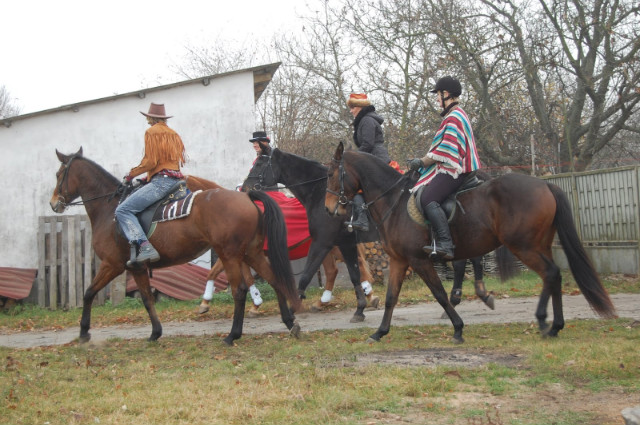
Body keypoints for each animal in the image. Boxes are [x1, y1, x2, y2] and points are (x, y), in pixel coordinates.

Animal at [48, 148, 302, 344]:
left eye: (59, 174)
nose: (53, 203)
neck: (110, 210)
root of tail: (246, 197)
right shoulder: (136, 268)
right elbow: (147, 299)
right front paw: (155, 333)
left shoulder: (113, 265)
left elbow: (89, 293)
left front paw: (83, 332)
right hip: (251, 253)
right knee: (275, 279)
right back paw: (290, 323)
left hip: (230, 255)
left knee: (239, 291)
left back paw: (233, 335)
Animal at [241, 144, 380, 320]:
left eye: (258, 163)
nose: (244, 188)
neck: (320, 194)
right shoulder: (340, 242)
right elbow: (353, 273)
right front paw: (360, 308)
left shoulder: (324, 242)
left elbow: (305, 275)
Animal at [328, 142, 616, 342]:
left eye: (331, 174)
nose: (330, 209)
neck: (394, 202)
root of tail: (545, 186)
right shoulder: (400, 260)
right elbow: (391, 298)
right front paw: (380, 332)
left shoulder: (419, 260)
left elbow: (439, 293)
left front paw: (457, 328)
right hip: (538, 245)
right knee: (552, 276)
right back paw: (552, 325)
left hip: (524, 247)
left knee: (551, 273)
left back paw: (547, 322)